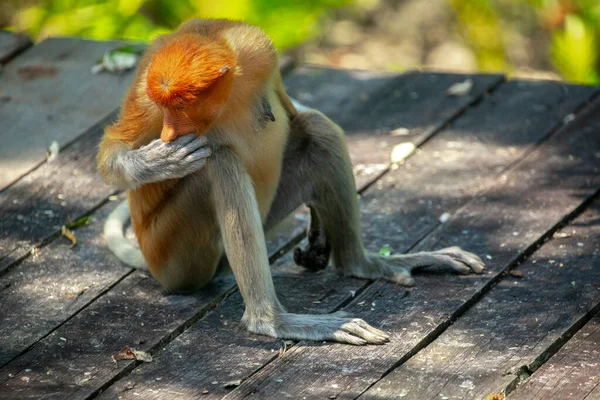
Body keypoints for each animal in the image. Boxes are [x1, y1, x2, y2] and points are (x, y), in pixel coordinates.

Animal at [97, 18, 482, 344]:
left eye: (181, 107)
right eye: (165, 107)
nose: (167, 134)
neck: (228, 94)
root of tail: (154, 263)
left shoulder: (258, 49)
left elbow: (293, 110)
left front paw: (318, 230)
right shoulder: (146, 93)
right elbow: (111, 152)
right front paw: (158, 161)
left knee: (316, 129)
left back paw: (363, 263)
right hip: (175, 253)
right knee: (220, 162)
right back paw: (272, 321)